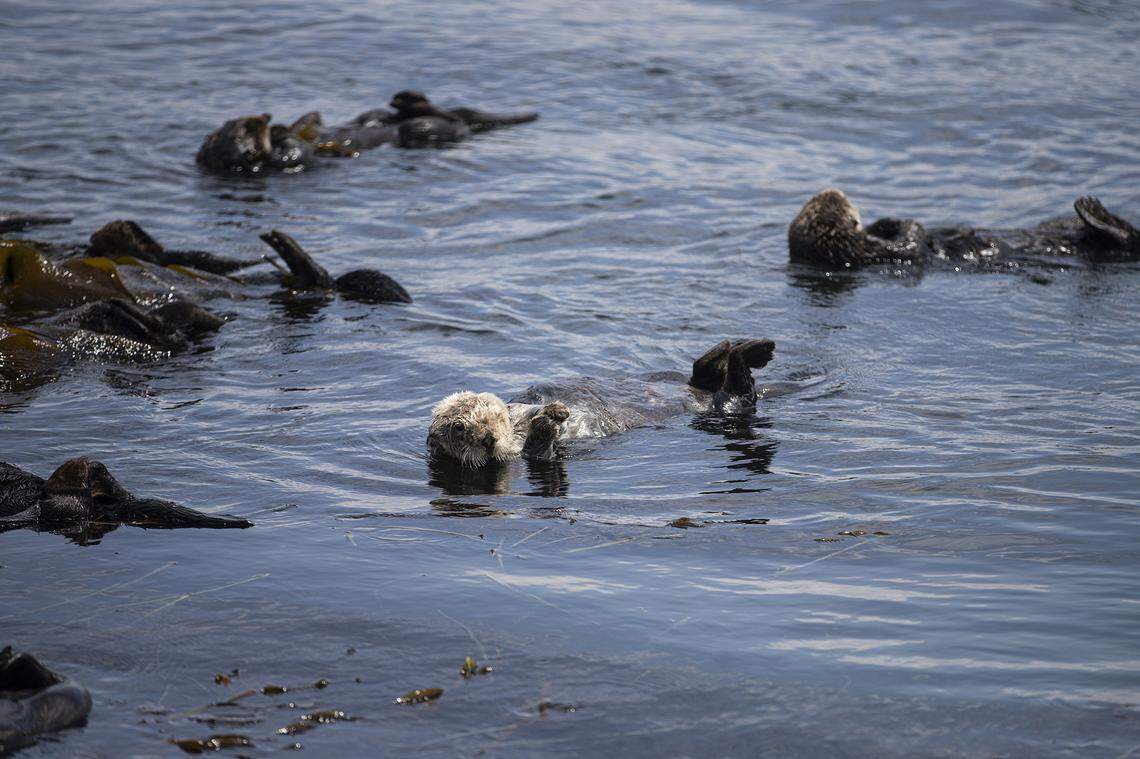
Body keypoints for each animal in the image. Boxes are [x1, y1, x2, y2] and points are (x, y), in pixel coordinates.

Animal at [428, 339, 775, 466]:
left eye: (489, 417)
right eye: (459, 430)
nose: (487, 439)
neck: (517, 429)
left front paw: (553, 410)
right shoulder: (525, 458)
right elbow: (541, 452)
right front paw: (548, 422)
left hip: (694, 383)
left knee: (700, 374)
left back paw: (729, 349)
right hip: (729, 406)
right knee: (736, 392)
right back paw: (747, 351)